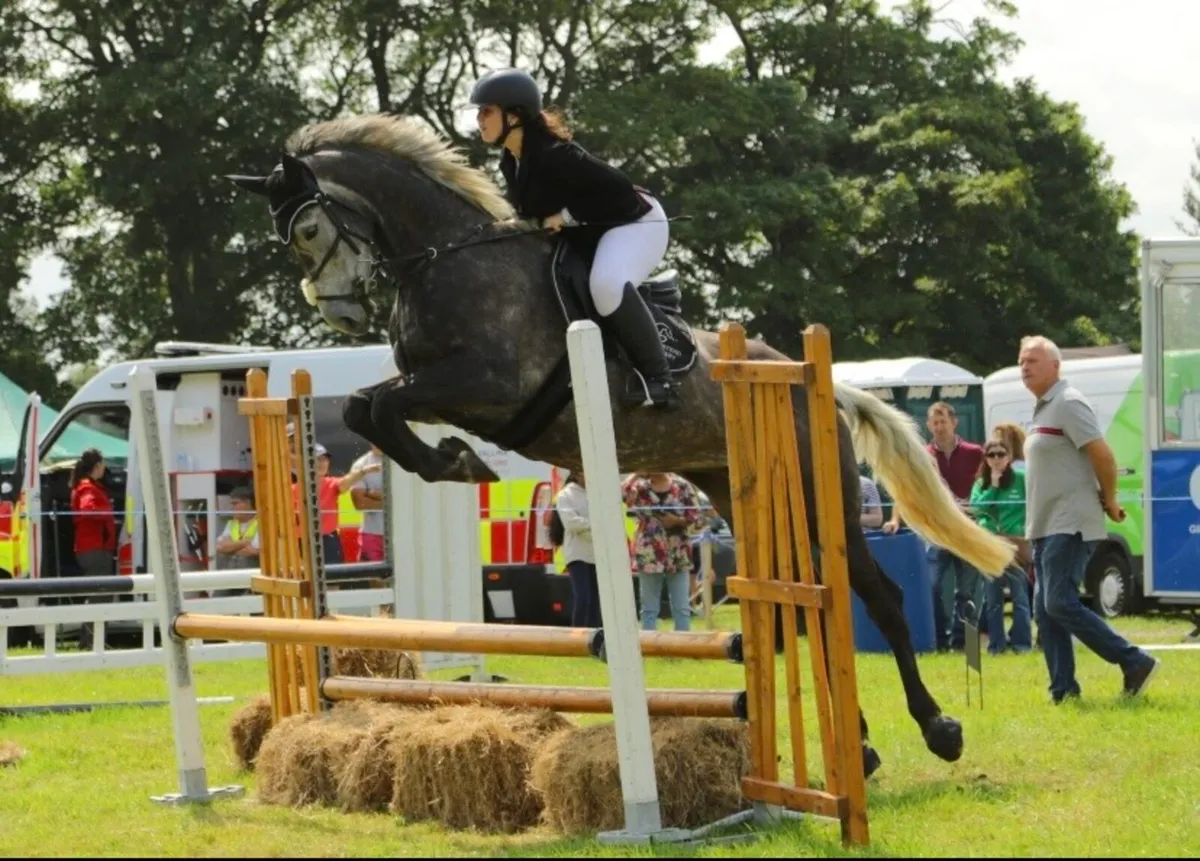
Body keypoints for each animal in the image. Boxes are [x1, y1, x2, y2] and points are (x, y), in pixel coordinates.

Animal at [226, 113, 1016, 776]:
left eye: (306, 231)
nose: (337, 312)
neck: (444, 257)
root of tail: (804, 376)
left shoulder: (486, 385)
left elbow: (382, 404)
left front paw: (455, 460)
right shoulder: (440, 386)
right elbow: (368, 405)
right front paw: (451, 459)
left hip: (824, 498)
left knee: (878, 594)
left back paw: (939, 730)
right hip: (736, 487)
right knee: (802, 604)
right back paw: (865, 746)